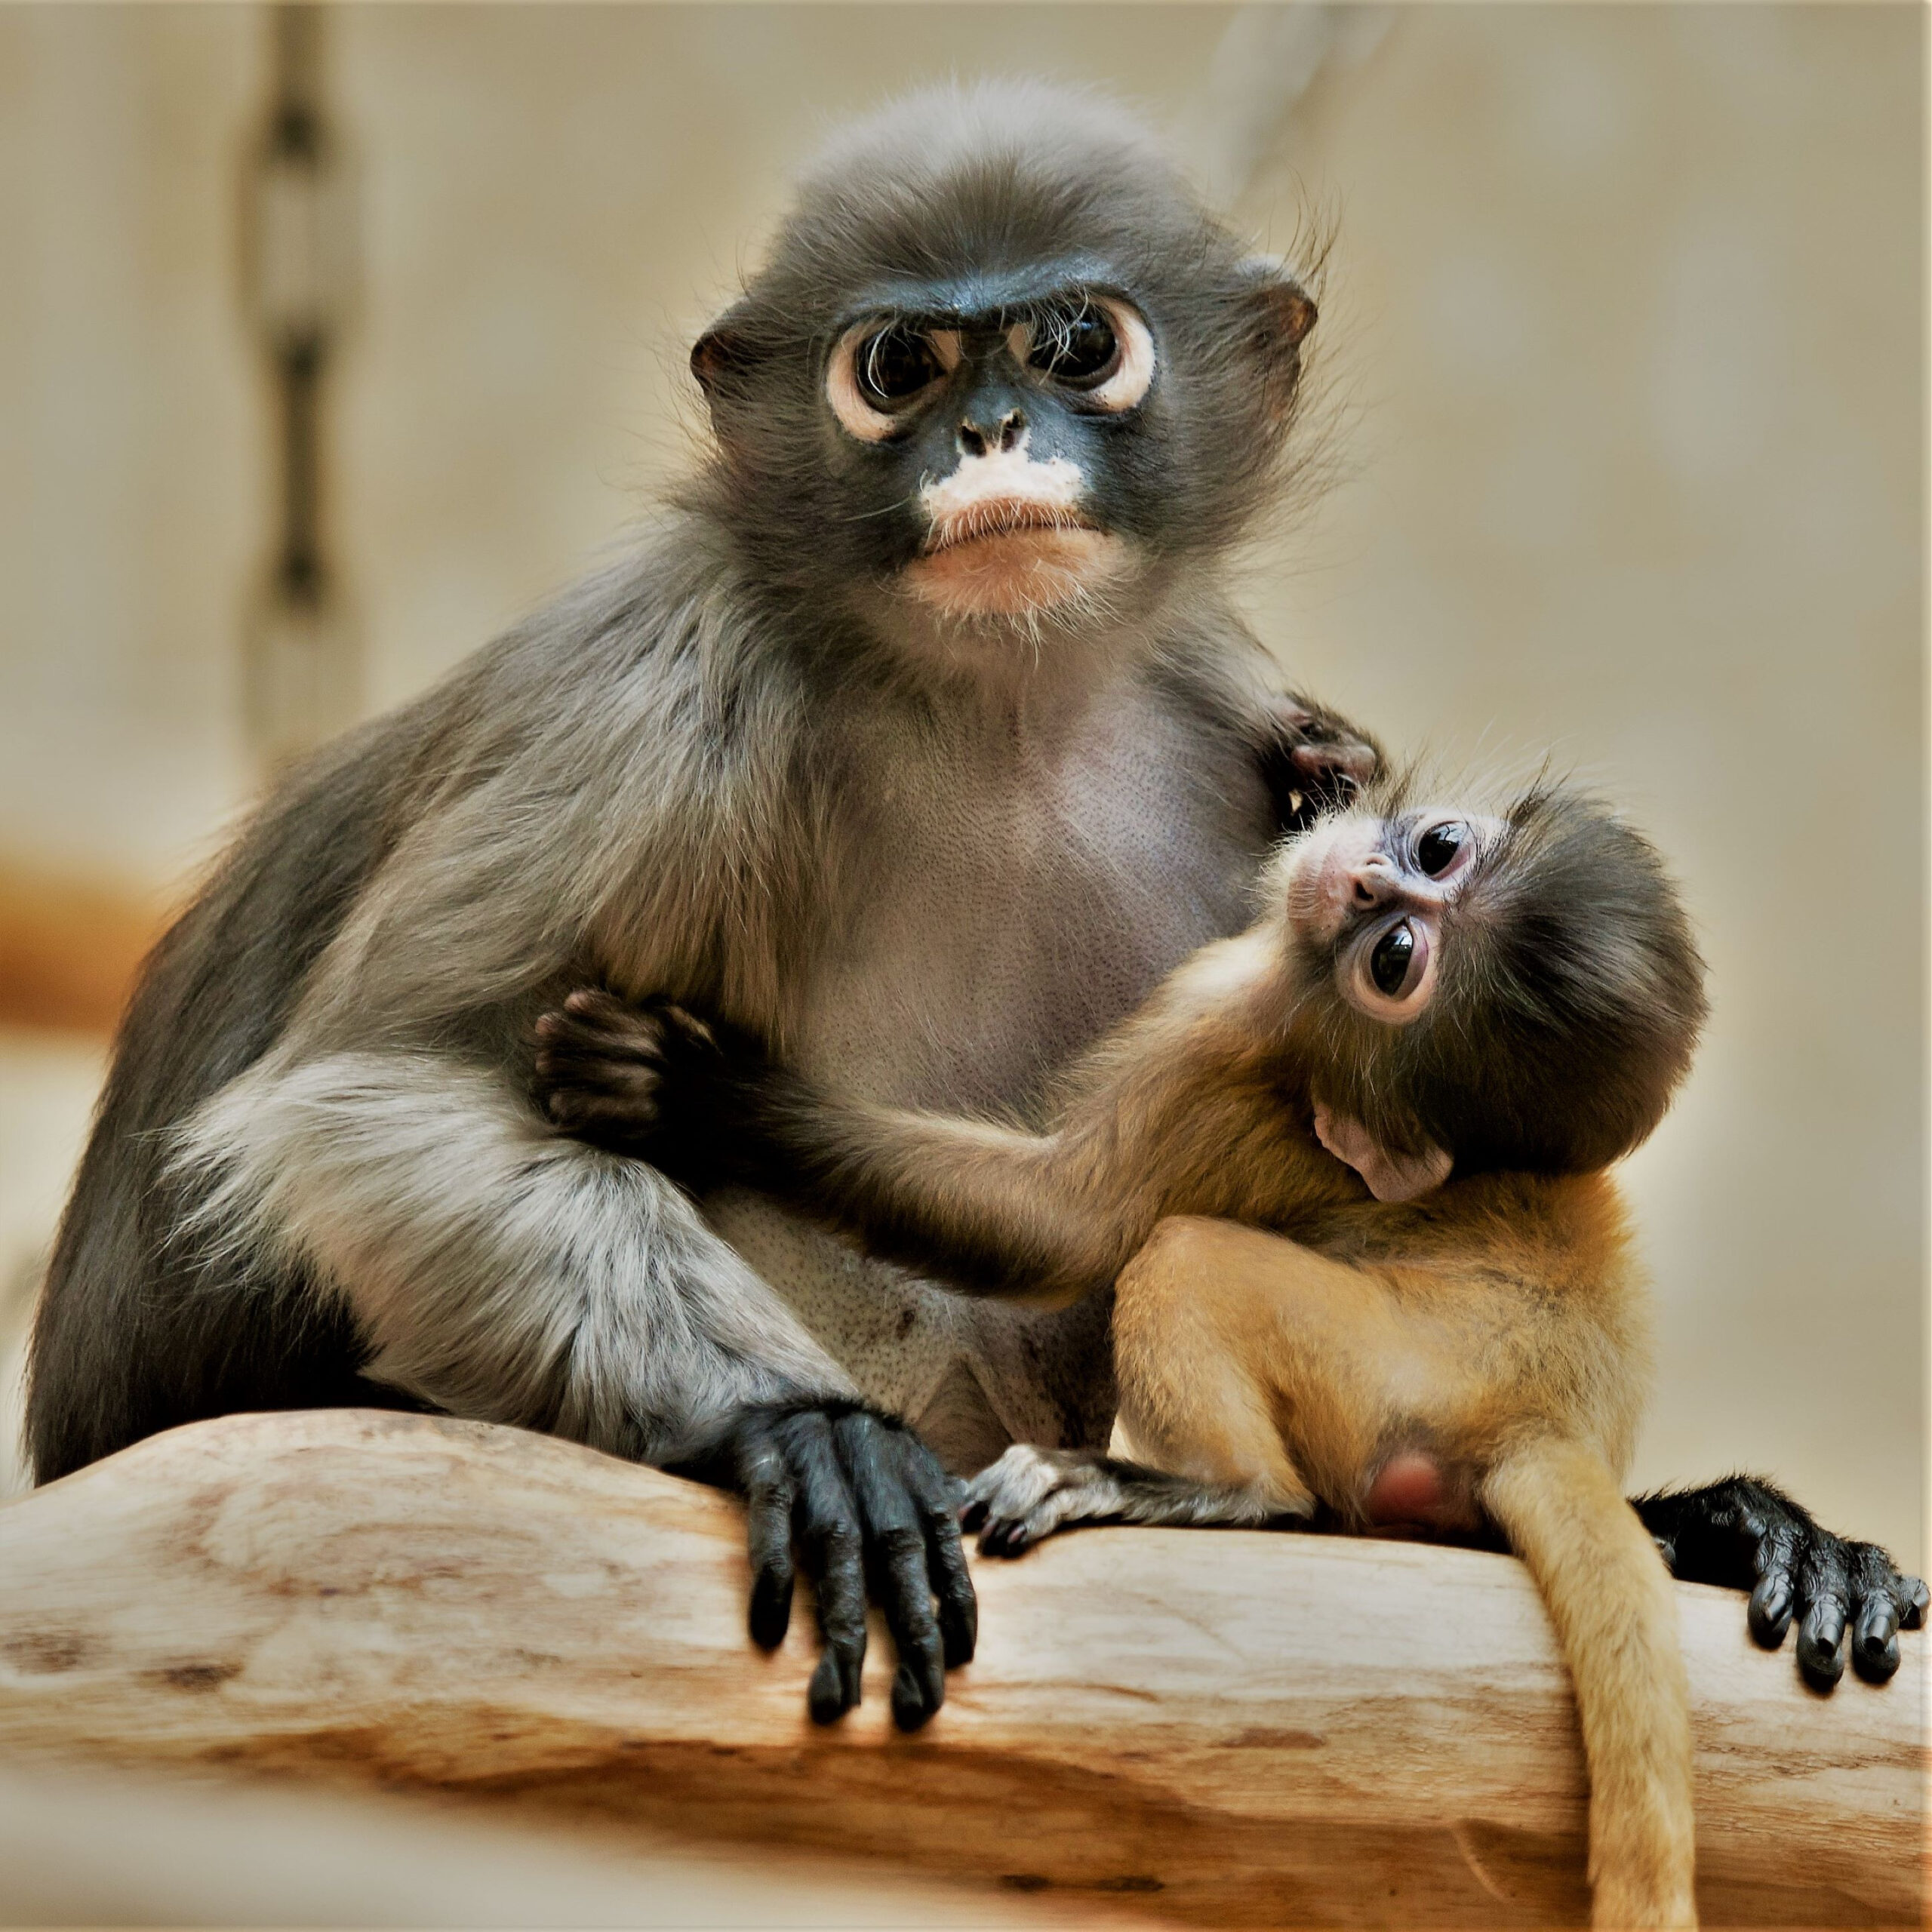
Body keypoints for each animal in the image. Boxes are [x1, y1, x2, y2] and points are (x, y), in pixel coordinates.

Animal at [26, 82, 1916, 1738]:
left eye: (1077, 344)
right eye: (898, 367)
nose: (991, 433)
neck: (995, 709)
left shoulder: (1220, 714)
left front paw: (1721, 1516)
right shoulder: (662, 686)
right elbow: (378, 1091)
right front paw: (801, 1426)